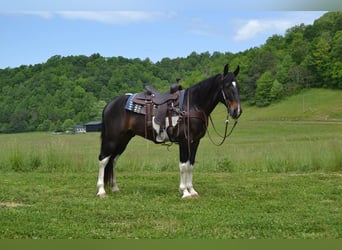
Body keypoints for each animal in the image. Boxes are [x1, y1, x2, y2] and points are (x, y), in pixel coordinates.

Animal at [95, 64, 242, 199]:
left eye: (237, 87)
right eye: (227, 86)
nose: (237, 111)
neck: (192, 105)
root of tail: (109, 105)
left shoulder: (195, 142)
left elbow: (191, 165)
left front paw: (192, 191)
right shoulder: (184, 141)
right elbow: (183, 166)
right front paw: (185, 192)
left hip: (124, 139)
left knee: (113, 160)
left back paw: (114, 188)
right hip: (112, 139)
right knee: (103, 160)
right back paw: (101, 191)